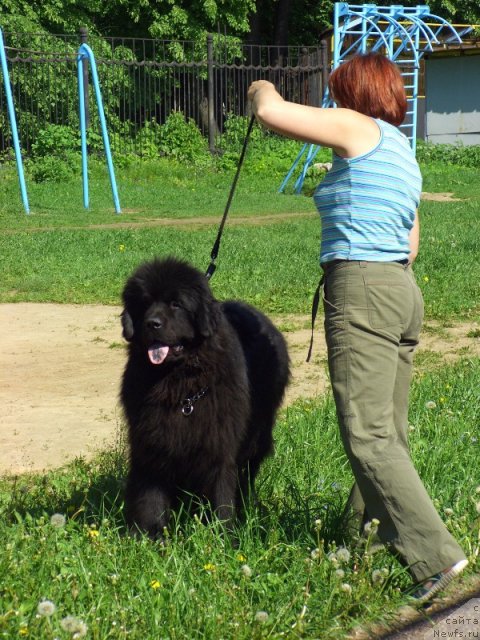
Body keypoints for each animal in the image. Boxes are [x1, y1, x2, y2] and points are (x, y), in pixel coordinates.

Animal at [120, 255, 288, 536]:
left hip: (257, 433)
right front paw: (150, 533)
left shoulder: (219, 440)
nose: (152, 323)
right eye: (144, 303)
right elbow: (149, 492)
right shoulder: (150, 440)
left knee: (247, 471)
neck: (179, 387)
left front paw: (222, 534)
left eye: (176, 304)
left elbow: (221, 489)